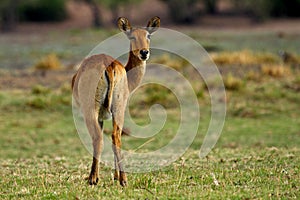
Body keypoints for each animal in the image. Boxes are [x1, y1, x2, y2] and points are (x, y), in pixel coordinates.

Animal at [72, 16, 161, 186]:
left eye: (148, 35)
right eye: (132, 36)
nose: (144, 52)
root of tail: (109, 65)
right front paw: (116, 175)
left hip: (92, 111)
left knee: (99, 138)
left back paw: (93, 179)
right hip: (118, 109)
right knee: (115, 137)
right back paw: (123, 179)